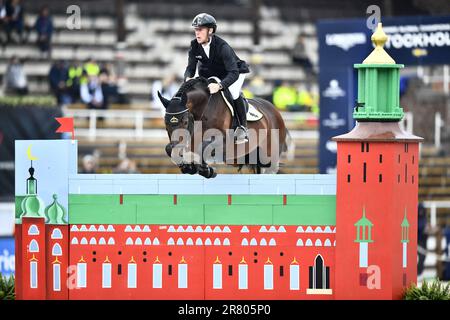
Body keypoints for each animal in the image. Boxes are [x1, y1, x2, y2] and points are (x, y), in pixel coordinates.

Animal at [158, 76, 290, 179]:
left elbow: (204, 147)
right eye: (165, 122)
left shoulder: (225, 142)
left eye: (185, 122)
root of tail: (275, 111)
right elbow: (169, 148)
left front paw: (206, 170)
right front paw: (188, 167)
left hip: (268, 157)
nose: (177, 149)